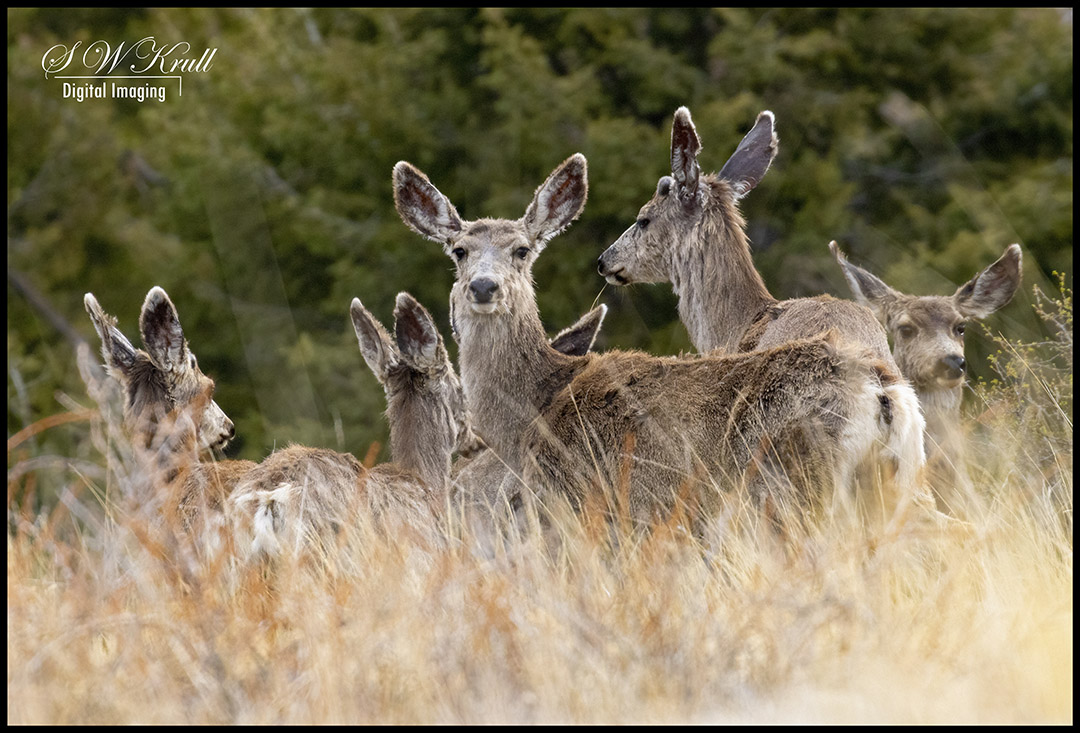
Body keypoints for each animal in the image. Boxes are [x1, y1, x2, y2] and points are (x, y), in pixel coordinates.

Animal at [393, 153, 933, 533]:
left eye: (522, 250)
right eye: (459, 251)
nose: (484, 287)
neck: (536, 407)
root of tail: (884, 392)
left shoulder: (603, 504)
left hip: (803, 485)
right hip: (895, 482)